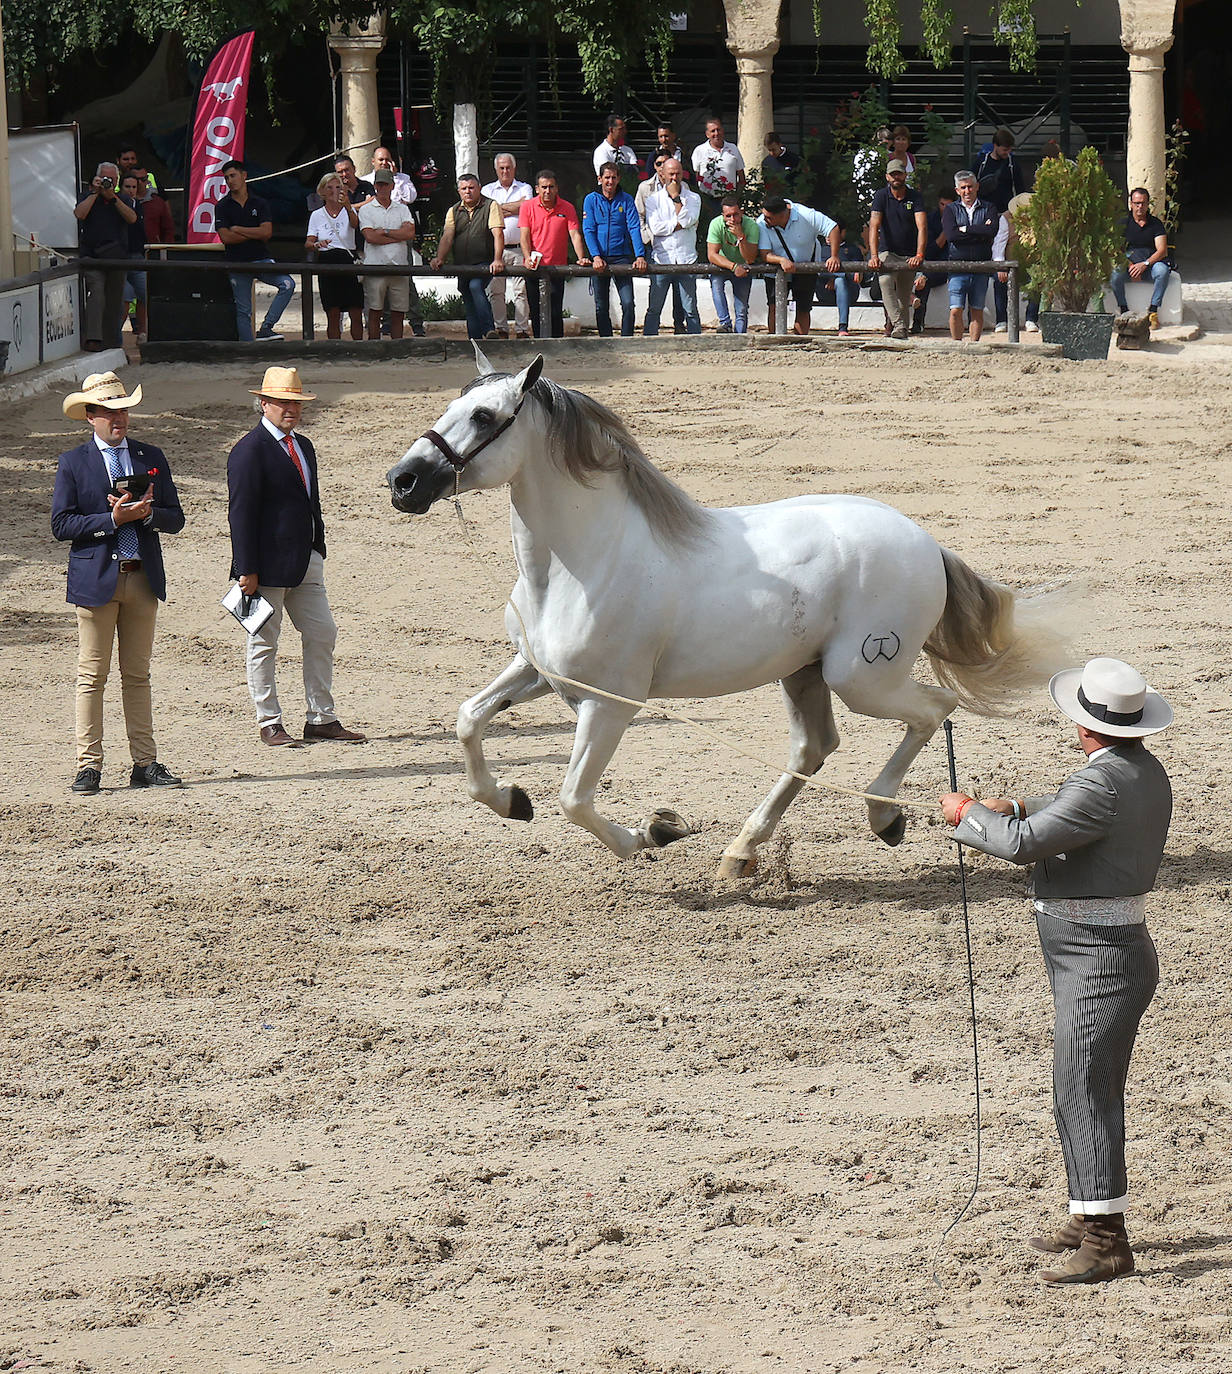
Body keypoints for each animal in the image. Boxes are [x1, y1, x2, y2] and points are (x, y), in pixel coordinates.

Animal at [390, 348, 1060, 873]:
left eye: (483, 416)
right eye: (454, 402)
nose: (403, 482)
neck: (581, 565)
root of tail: (926, 543)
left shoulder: (610, 704)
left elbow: (574, 798)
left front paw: (652, 833)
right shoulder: (537, 672)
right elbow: (468, 720)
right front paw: (512, 801)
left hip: (861, 676)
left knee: (934, 709)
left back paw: (883, 816)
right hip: (803, 673)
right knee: (813, 749)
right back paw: (741, 852)